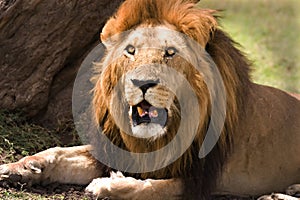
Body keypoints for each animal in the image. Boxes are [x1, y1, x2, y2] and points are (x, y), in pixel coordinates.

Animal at [0, 0, 300, 199]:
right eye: (130, 51)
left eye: (170, 53)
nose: (142, 83)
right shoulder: (113, 150)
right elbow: (59, 152)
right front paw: (20, 167)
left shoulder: (199, 180)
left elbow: (148, 189)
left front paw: (106, 185)